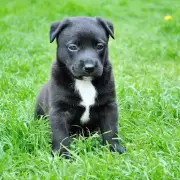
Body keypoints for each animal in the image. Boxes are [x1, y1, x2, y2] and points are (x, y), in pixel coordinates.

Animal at [34, 16, 126, 158]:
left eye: (100, 46)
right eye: (73, 47)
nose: (89, 67)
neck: (85, 82)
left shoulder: (109, 106)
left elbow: (111, 130)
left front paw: (115, 149)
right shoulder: (59, 110)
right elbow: (60, 134)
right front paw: (63, 155)